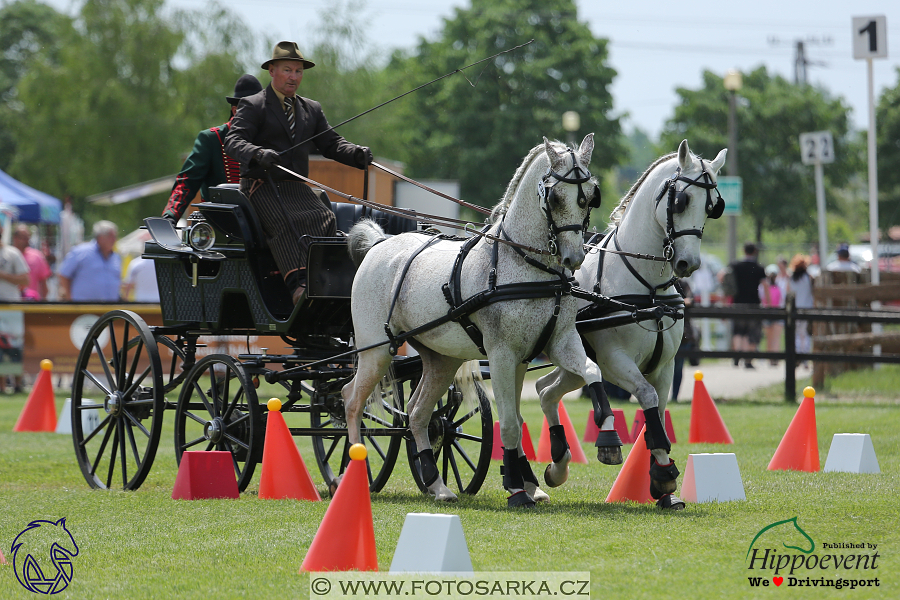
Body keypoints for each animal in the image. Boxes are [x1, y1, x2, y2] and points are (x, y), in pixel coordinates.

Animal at [342, 136, 612, 506]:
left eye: (590, 196)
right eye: (555, 197)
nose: (575, 257)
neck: (525, 265)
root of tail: (380, 244)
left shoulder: (552, 345)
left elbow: (589, 372)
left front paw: (565, 462)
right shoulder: (501, 355)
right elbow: (509, 422)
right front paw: (517, 487)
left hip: (441, 361)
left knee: (417, 413)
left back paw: (436, 484)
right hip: (376, 351)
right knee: (352, 400)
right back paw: (355, 470)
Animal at [536, 141, 728, 510]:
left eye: (713, 206)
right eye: (681, 200)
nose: (689, 263)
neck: (647, 289)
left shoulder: (665, 366)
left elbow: (659, 410)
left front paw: (663, 483)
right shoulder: (615, 361)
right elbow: (646, 396)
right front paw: (657, 470)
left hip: (570, 363)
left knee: (545, 389)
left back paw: (557, 464)